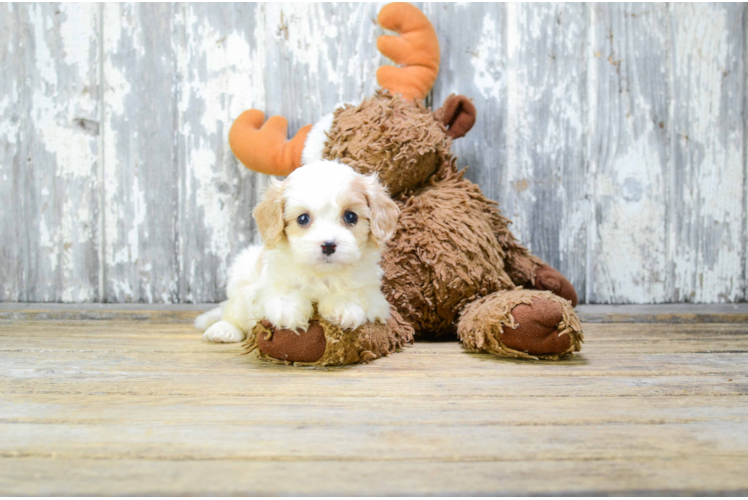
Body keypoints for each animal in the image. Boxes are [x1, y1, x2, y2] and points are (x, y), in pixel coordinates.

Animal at [196, 160, 400, 344]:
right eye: (303, 219)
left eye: (351, 216)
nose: (328, 245)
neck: (322, 274)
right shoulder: (266, 280)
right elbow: (278, 289)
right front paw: (288, 310)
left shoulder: (376, 297)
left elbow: (354, 292)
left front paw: (344, 305)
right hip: (241, 279)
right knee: (232, 311)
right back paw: (223, 330)